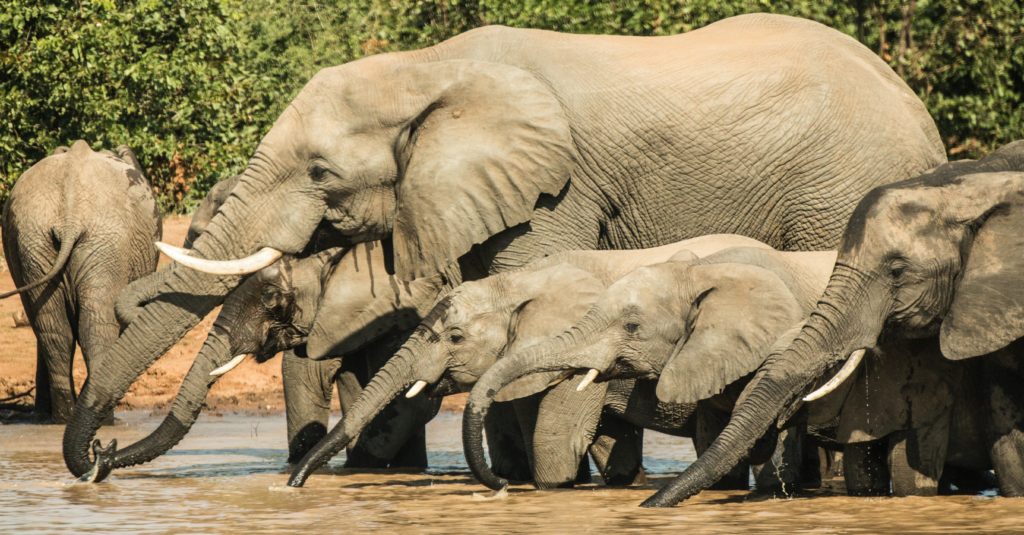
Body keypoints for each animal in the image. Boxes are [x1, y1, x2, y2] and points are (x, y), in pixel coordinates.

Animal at [2, 140, 159, 420]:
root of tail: (69, 215)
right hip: (105, 243)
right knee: (96, 327)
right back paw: (102, 417)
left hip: (34, 242)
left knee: (55, 331)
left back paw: (61, 417)